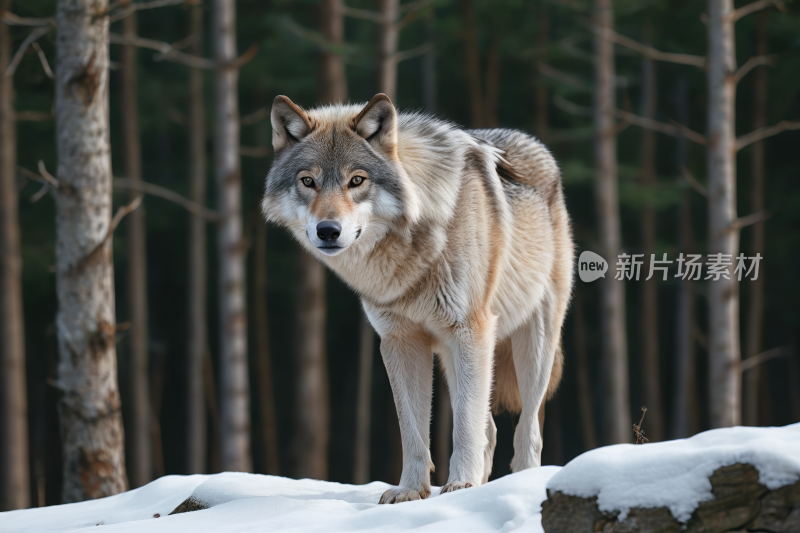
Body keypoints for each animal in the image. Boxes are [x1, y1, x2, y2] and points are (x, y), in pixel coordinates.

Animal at [264, 92, 576, 502]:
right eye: (308, 181)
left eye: (356, 180)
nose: (327, 230)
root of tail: (535, 144)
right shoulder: (399, 340)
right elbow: (412, 430)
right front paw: (410, 492)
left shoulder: (471, 329)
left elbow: (464, 428)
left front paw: (460, 486)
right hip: (454, 354)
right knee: (489, 428)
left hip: (530, 348)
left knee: (527, 432)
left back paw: (517, 484)